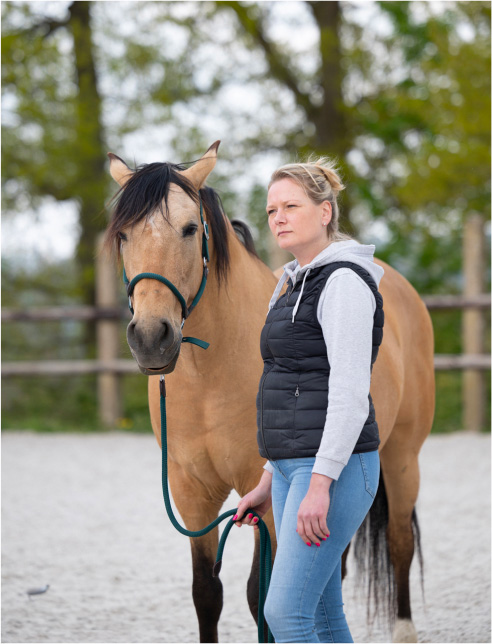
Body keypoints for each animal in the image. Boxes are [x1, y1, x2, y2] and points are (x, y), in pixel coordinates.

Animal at [106, 142, 434, 644]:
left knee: (400, 542)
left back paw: (404, 630)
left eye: (188, 228)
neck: (210, 374)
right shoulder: (190, 492)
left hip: (401, 458)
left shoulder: (263, 493)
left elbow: (259, 597)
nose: (150, 337)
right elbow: (207, 593)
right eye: (123, 235)